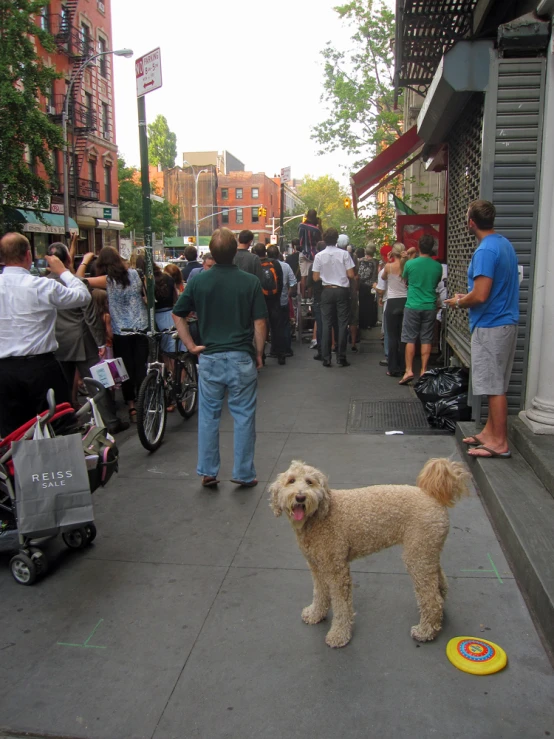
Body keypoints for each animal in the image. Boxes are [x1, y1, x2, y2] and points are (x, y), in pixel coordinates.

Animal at [270, 456, 468, 648]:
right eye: (291, 481)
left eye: (310, 482)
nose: (300, 497)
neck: (320, 516)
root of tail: (433, 496)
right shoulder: (317, 567)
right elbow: (320, 593)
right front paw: (315, 614)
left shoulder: (337, 570)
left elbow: (342, 607)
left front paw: (339, 635)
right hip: (427, 551)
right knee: (438, 582)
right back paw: (438, 615)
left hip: (417, 555)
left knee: (431, 599)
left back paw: (426, 631)